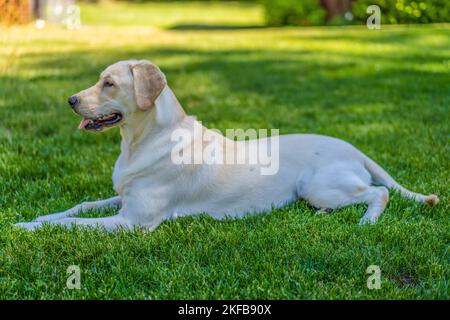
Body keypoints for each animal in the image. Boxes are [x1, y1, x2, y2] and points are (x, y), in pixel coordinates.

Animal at [14, 60, 440, 230]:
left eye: (109, 83)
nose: (70, 100)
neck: (141, 141)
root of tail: (351, 147)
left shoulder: (133, 221)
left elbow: (72, 225)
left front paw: (29, 228)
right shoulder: (122, 199)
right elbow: (78, 208)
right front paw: (36, 217)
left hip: (317, 184)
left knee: (380, 193)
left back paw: (366, 221)